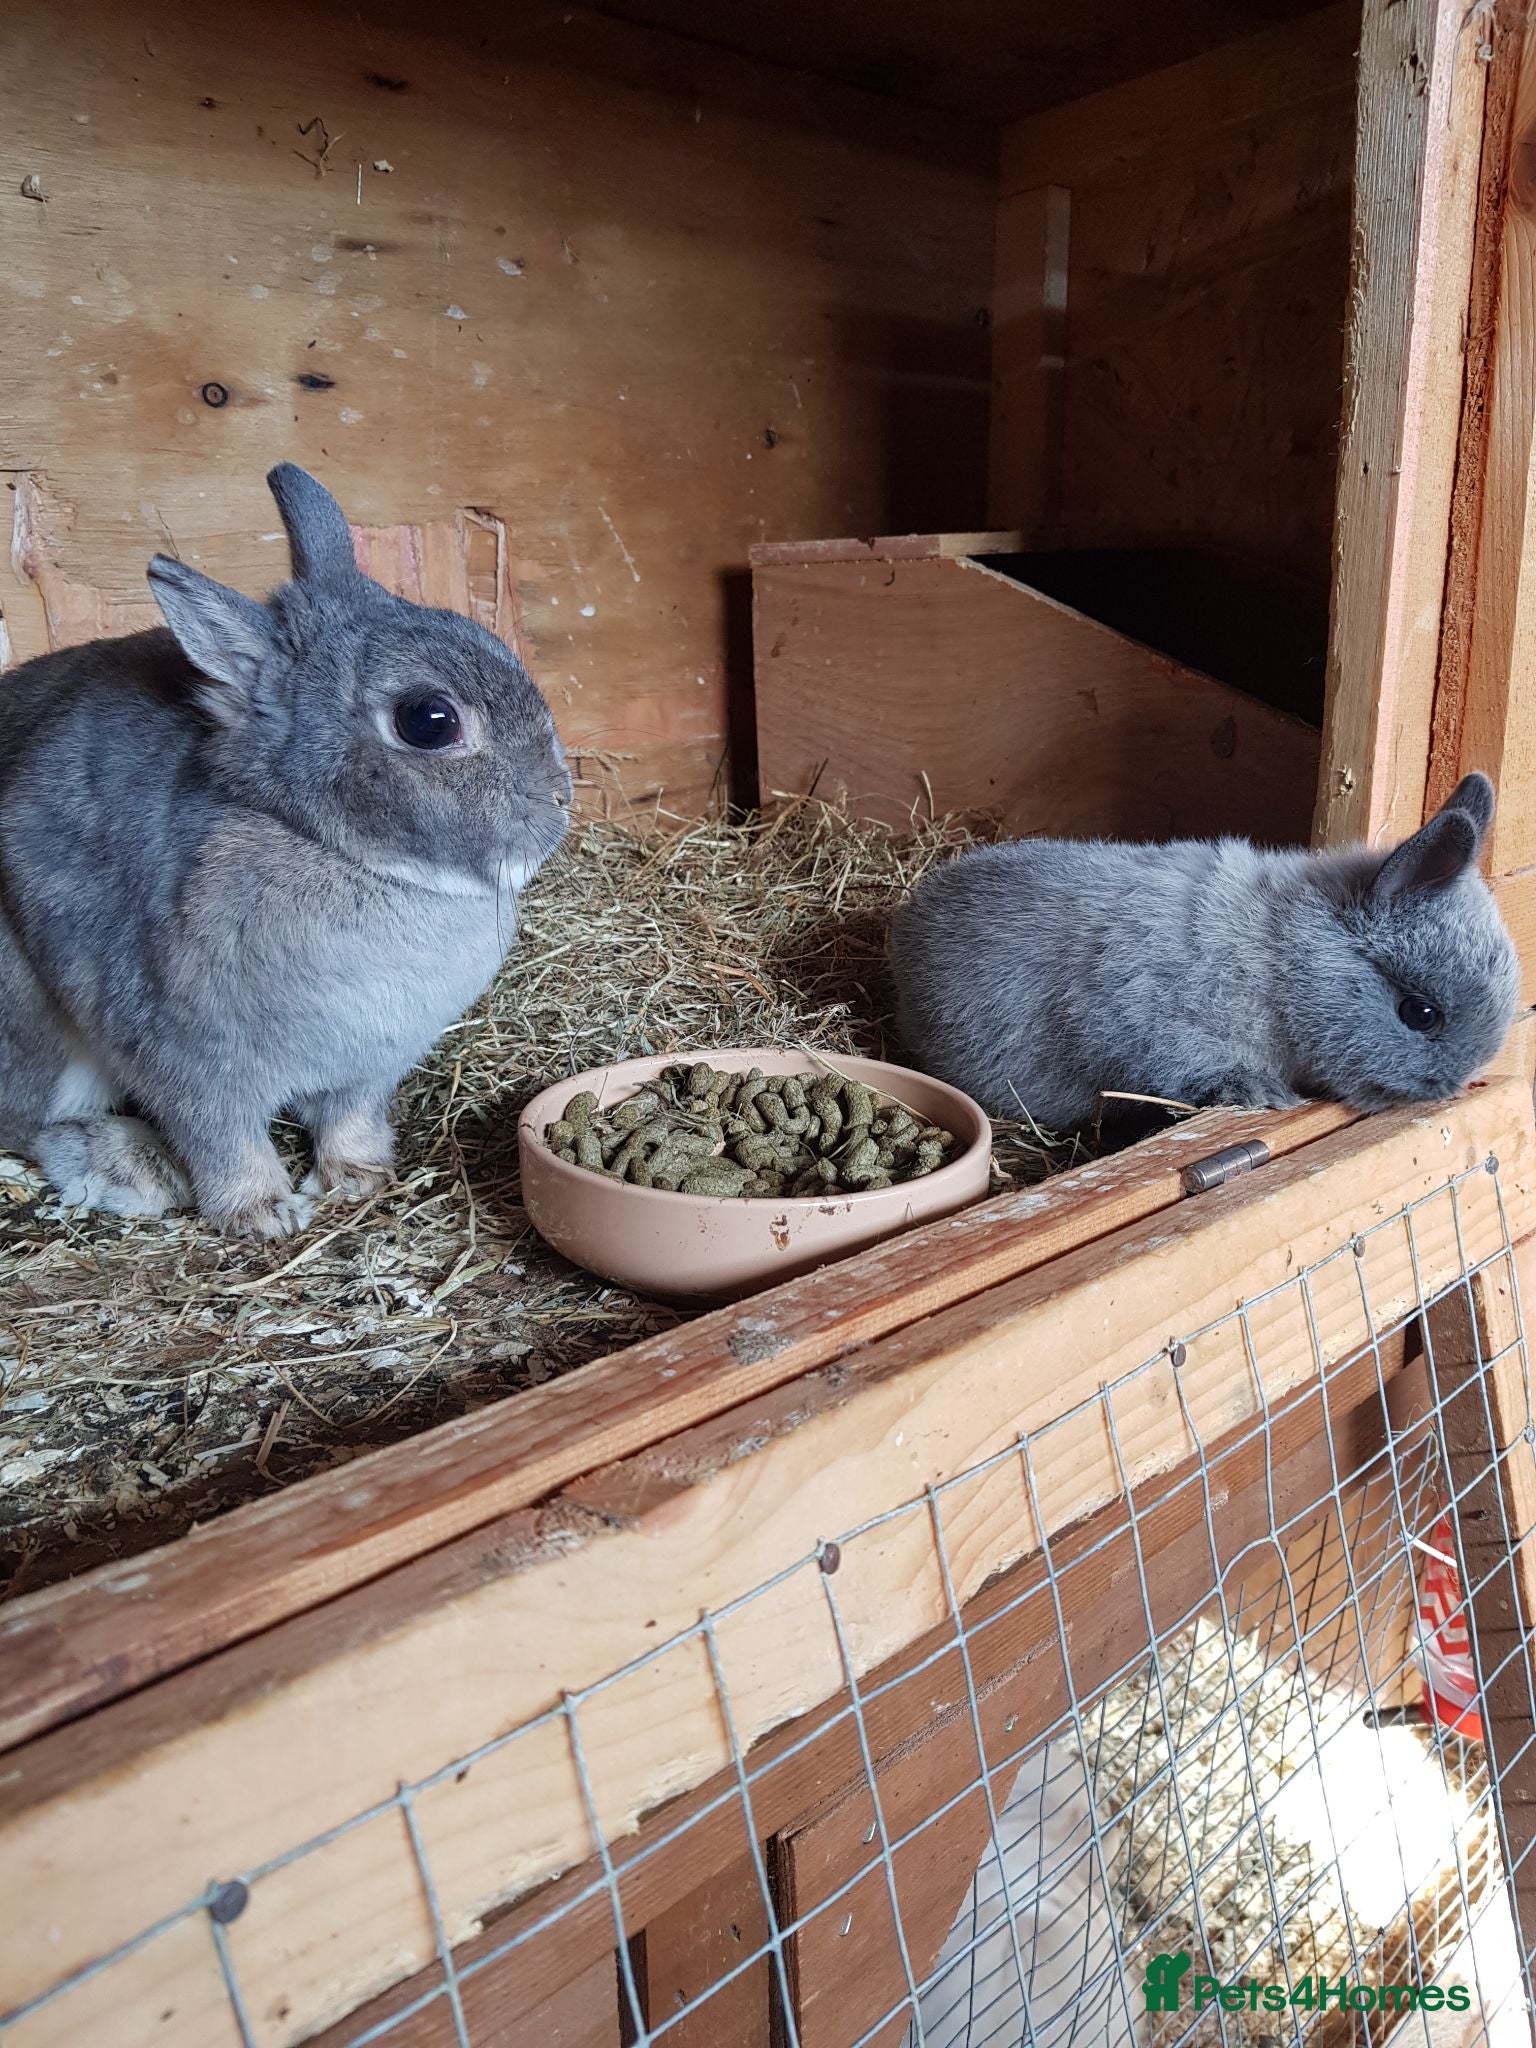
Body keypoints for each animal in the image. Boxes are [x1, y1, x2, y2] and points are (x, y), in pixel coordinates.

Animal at [0, 464, 571, 1238]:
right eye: (428, 720)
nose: (559, 803)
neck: (321, 842)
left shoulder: (368, 1067)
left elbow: (349, 1120)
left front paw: (359, 1178)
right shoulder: (186, 1060)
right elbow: (224, 1139)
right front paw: (261, 1214)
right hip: (34, 1023)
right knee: (27, 1122)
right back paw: (130, 1166)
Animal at [889, 774, 1519, 1130]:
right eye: (1421, 1013)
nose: (1447, 1089)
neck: (1281, 959)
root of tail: (903, 932)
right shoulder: (1149, 1025)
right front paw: (1264, 1096)